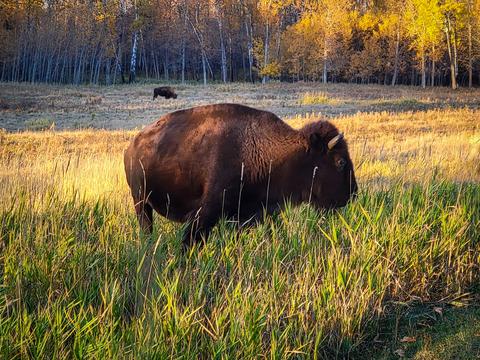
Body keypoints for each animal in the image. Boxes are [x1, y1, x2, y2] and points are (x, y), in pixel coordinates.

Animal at [124, 102, 356, 246]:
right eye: (341, 162)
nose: (352, 193)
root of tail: (131, 147)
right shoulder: (206, 212)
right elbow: (191, 241)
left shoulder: (251, 213)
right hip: (140, 201)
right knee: (146, 226)